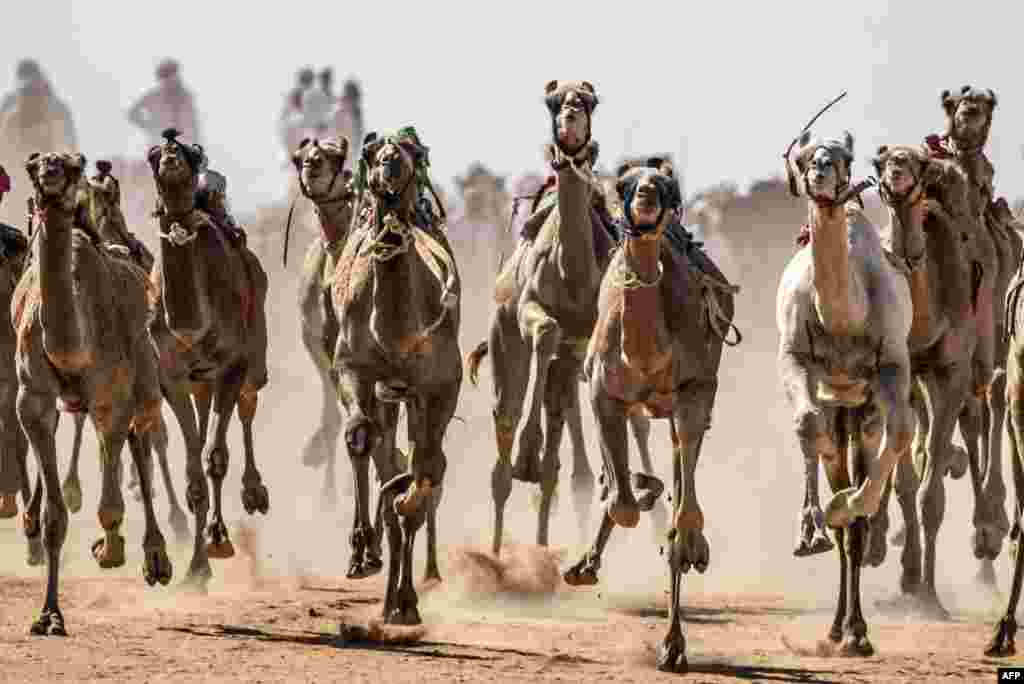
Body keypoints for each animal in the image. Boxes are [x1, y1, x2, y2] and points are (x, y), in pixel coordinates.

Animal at [15, 149, 172, 634]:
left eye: (72, 164)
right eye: (34, 166)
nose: (50, 175)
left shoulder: (111, 394)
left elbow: (111, 499)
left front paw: (112, 549)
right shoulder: (32, 401)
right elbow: (55, 517)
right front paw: (49, 616)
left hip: (144, 379)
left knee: (143, 439)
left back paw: (155, 559)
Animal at [148, 129, 270, 589]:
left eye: (191, 154)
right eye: (152, 157)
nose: (169, 149)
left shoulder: (233, 365)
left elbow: (216, 459)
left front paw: (217, 543)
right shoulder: (170, 375)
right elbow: (194, 472)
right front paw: (196, 569)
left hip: (255, 356)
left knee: (248, 405)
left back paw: (254, 493)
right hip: (201, 380)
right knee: (201, 430)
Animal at [329, 125, 458, 622]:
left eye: (409, 150)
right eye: (372, 151)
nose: (388, 163)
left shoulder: (440, 384)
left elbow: (427, 468)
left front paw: (405, 497)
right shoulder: (351, 367)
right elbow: (359, 437)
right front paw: (362, 551)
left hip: (409, 398)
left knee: (416, 462)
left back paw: (403, 602)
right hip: (386, 395)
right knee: (376, 444)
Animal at [561, 156, 737, 671]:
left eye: (667, 185)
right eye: (622, 183)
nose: (646, 197)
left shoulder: (695, 391)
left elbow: (681, 518)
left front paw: (693, 544)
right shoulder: (602, 392)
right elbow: (620, 504)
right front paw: (635, 494)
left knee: (677, 496)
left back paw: (674, 642)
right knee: (621, 485)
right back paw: (586, 563)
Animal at [774, 129, 913, 655]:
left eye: (846, 156)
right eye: (802, 156)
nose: (821, 170)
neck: (843, 318)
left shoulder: (893, 363)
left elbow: (902, 433)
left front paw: (850, 504)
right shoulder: (794, 356)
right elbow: (806, 423)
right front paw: (810, 526)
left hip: (862, 412)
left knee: (854, 526)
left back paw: (856, 632)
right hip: (839, 411)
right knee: (824, 442)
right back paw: (838, 628)